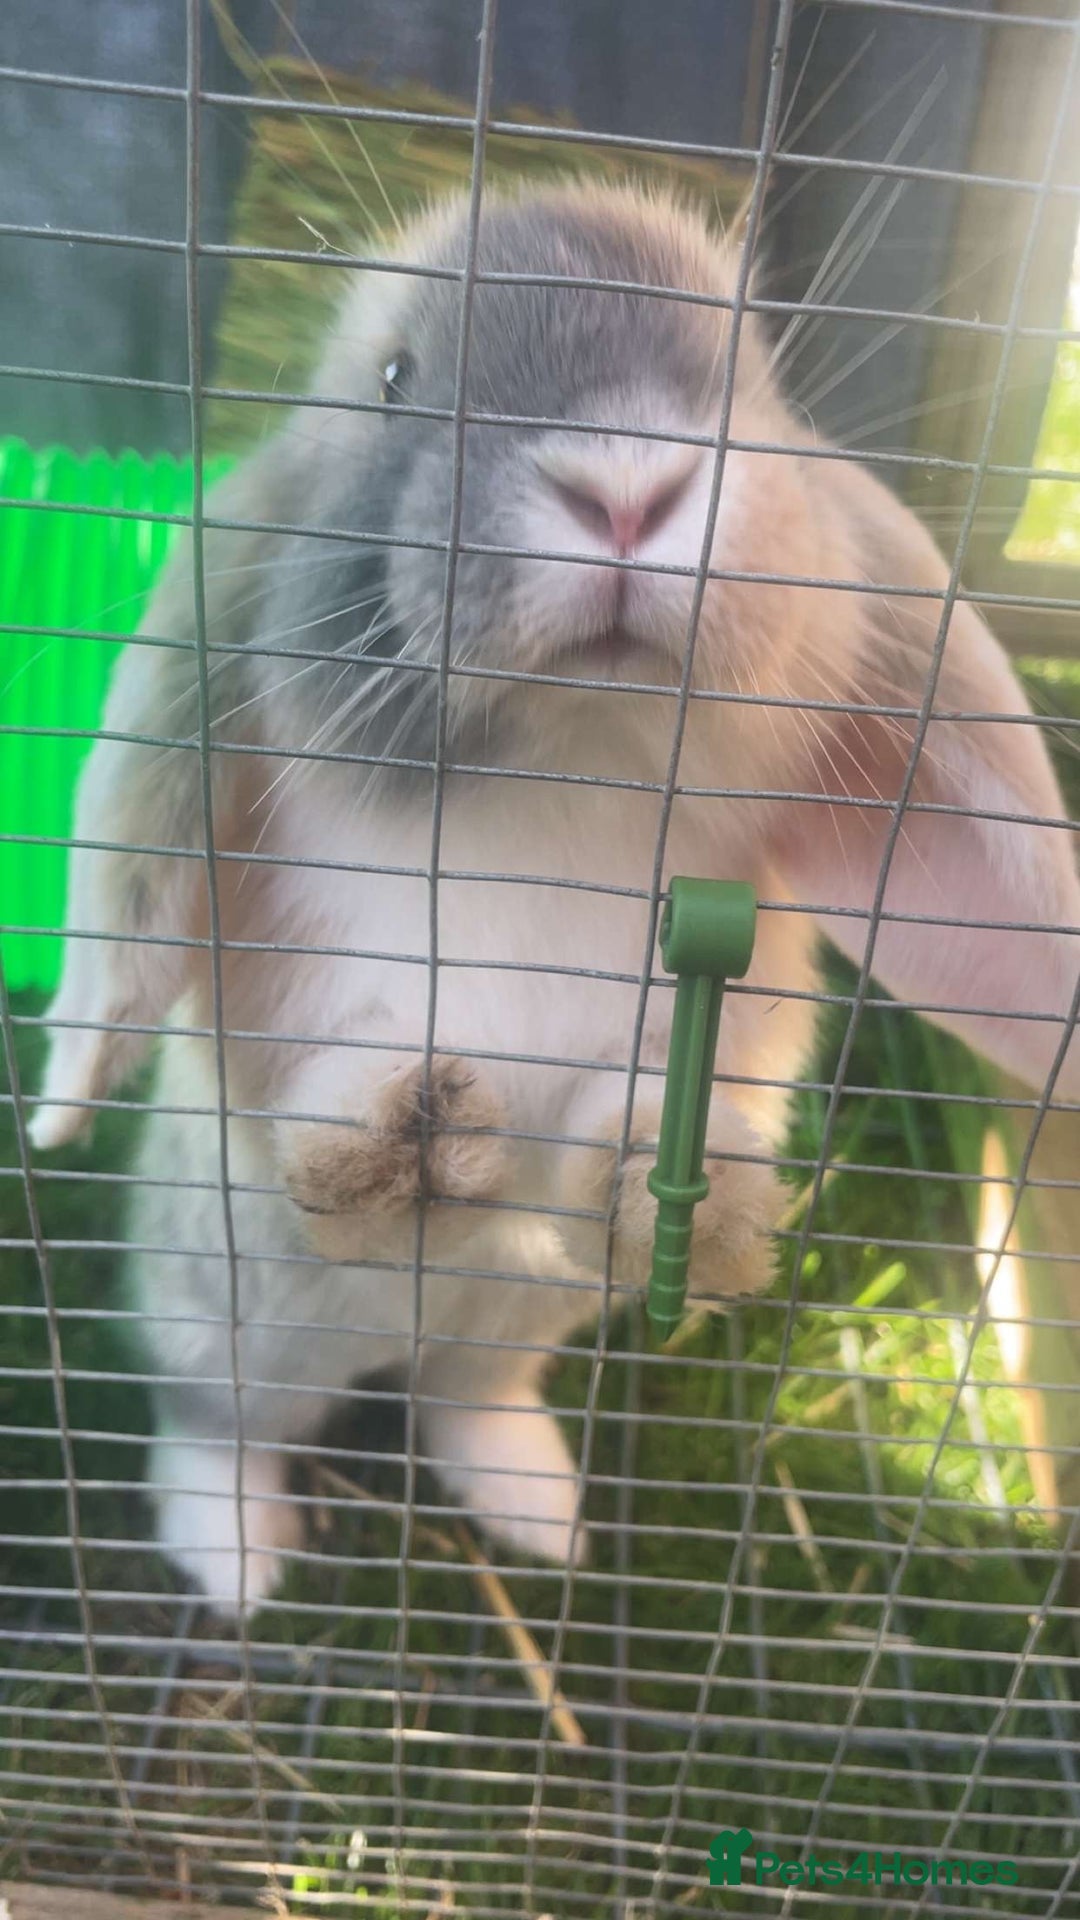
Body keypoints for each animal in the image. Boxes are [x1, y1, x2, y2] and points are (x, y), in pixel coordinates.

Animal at [30, 182, 1080, 1615]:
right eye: (397, 382)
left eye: (752, 383)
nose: (624, 489)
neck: (570, 748)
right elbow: (315, 1059)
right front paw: (397, 1131)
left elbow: (627, 1133)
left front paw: (684, 1197)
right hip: (224, 1311)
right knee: (214, 1422)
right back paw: (236, 1560)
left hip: (519, 1322)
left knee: (464, 1397)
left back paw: (539, 1513)